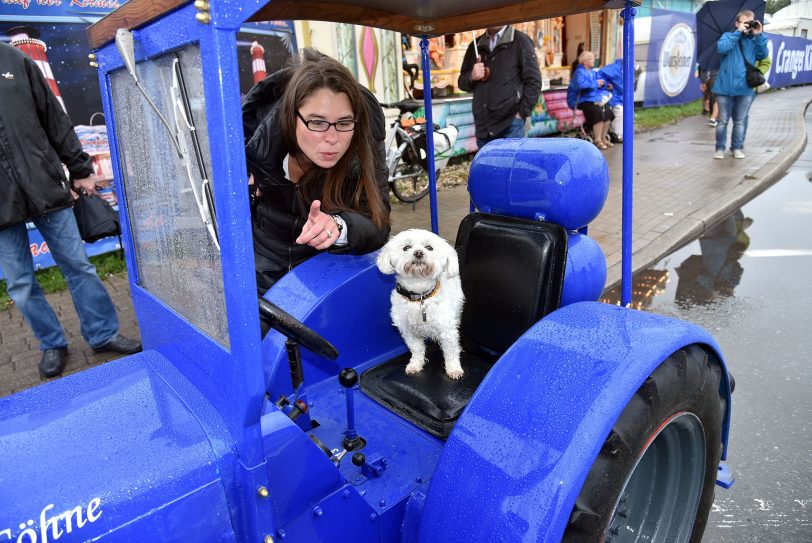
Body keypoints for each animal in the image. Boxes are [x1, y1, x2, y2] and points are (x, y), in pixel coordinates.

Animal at [376, 228, 464, 378]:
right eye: (406, 247)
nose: (418, 253)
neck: (420, 295)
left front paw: (453, 368)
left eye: (429, 248)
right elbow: (416, 349)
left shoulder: (447, 330)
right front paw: (415, 364)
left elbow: (450, 351)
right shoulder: (407, 330)